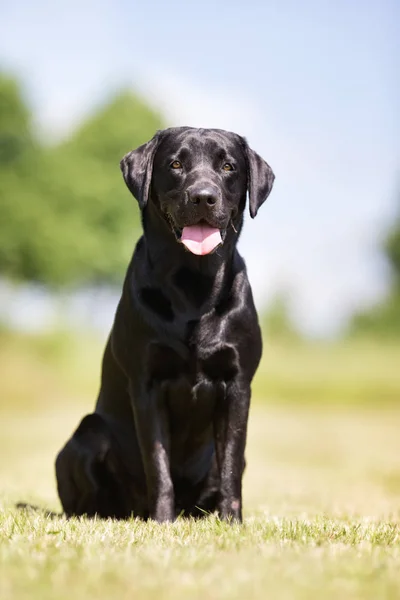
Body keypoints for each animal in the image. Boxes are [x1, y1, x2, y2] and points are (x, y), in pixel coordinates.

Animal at [55, 125, 276, 520]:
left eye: (228, 166)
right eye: (175, 164)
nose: (203, 197)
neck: (193, 285)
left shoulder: (238, 385)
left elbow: (231, 466)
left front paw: (232, 522)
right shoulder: (147, 383)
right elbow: (158, 465)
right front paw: (162, 521)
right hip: (88, 433)